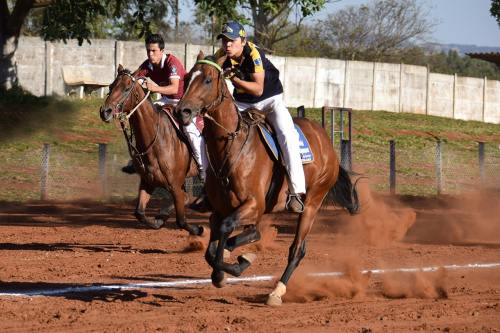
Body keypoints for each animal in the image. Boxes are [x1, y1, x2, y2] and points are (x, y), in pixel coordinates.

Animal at [99, 64, 203, 236]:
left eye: (127, 88)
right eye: (111, 86)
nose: (105, 111)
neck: (157, 140)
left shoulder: (175, 185)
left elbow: (181, 220)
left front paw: (198, 229)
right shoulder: (148, 181)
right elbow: (139, 213)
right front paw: (158, 219)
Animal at [176, 53, 360, 304]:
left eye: (207, 80)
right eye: (186, 78)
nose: (182, 111)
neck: (232, 147)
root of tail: (328, 144)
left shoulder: (254, 204)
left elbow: (227, 233)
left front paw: (238, 263)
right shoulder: (220, 210)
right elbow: (214, 248)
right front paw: (222, 271)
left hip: (312, 203)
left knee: (296, 249)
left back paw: (277, 291)